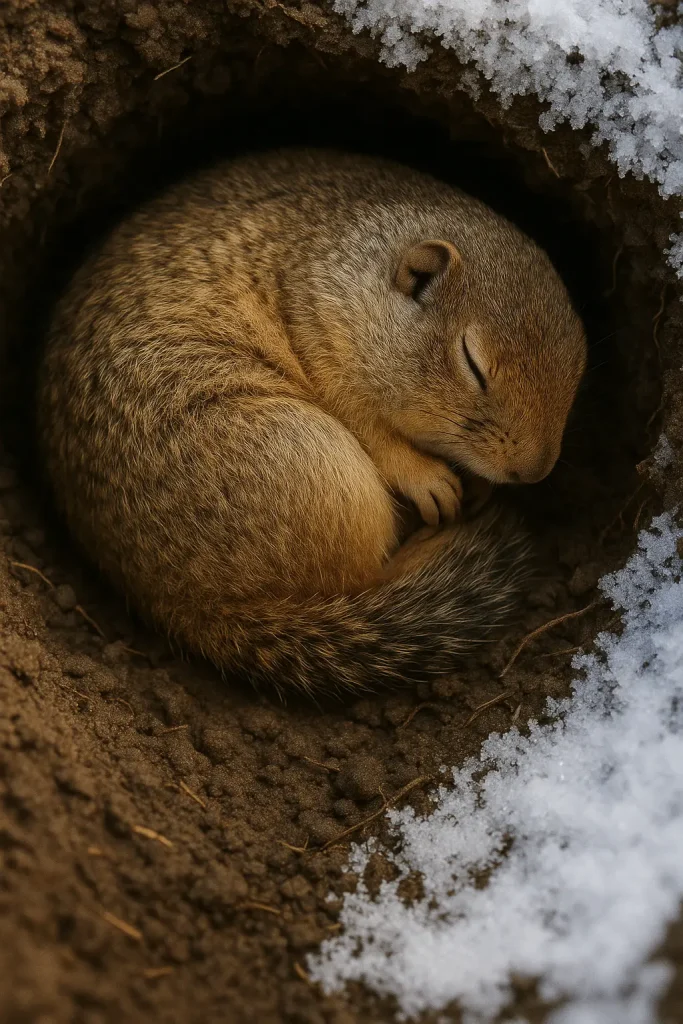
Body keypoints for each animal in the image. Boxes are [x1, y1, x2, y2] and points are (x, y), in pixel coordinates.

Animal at [38, 149, 587, 695]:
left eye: (582, 362)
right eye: (472, 362)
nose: (532, 472)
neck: (353, 263)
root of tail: (191, 609)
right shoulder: (324, 339)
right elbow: (371, 429)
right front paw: (429, 480)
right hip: (315, 465)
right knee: (360, 578)